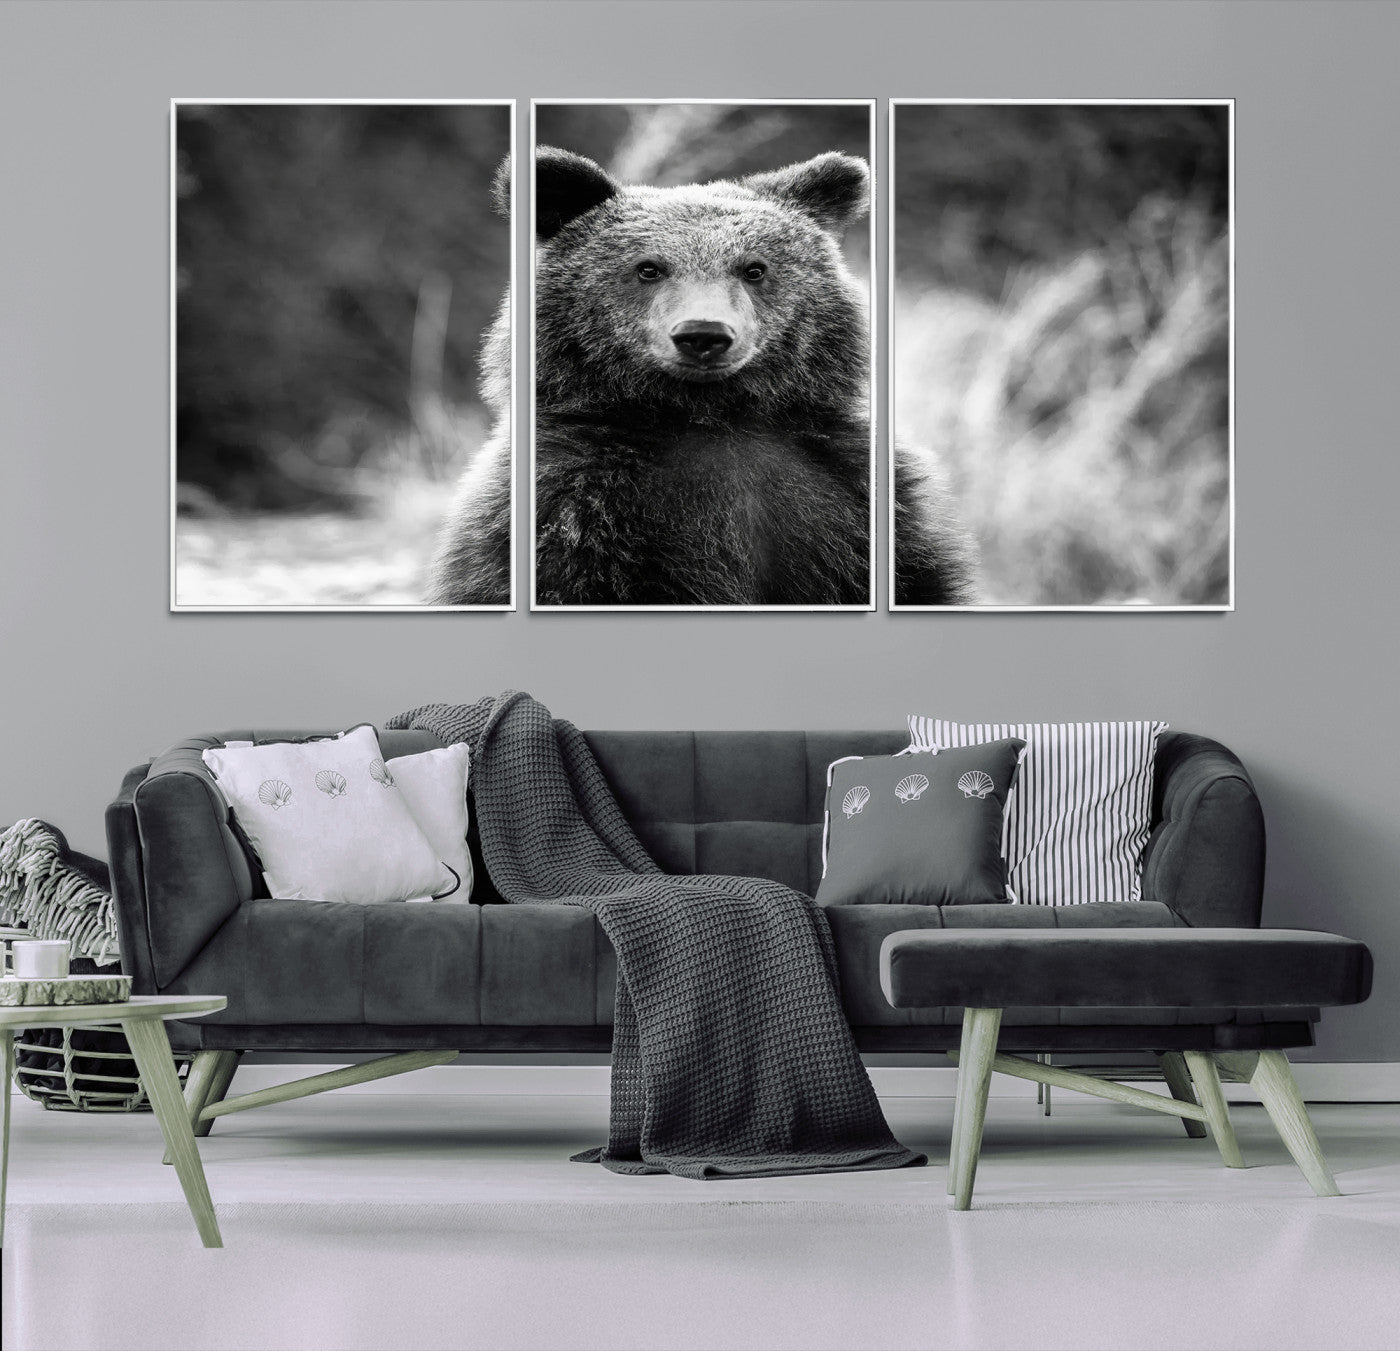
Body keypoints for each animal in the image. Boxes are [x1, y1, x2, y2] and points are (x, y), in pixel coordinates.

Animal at [427, 146, 975, 607]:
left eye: (753, 268)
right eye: (649, 268)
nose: (703, 334)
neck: (710, 416)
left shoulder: (850, 493)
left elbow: (918, 578)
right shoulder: (573, 506)